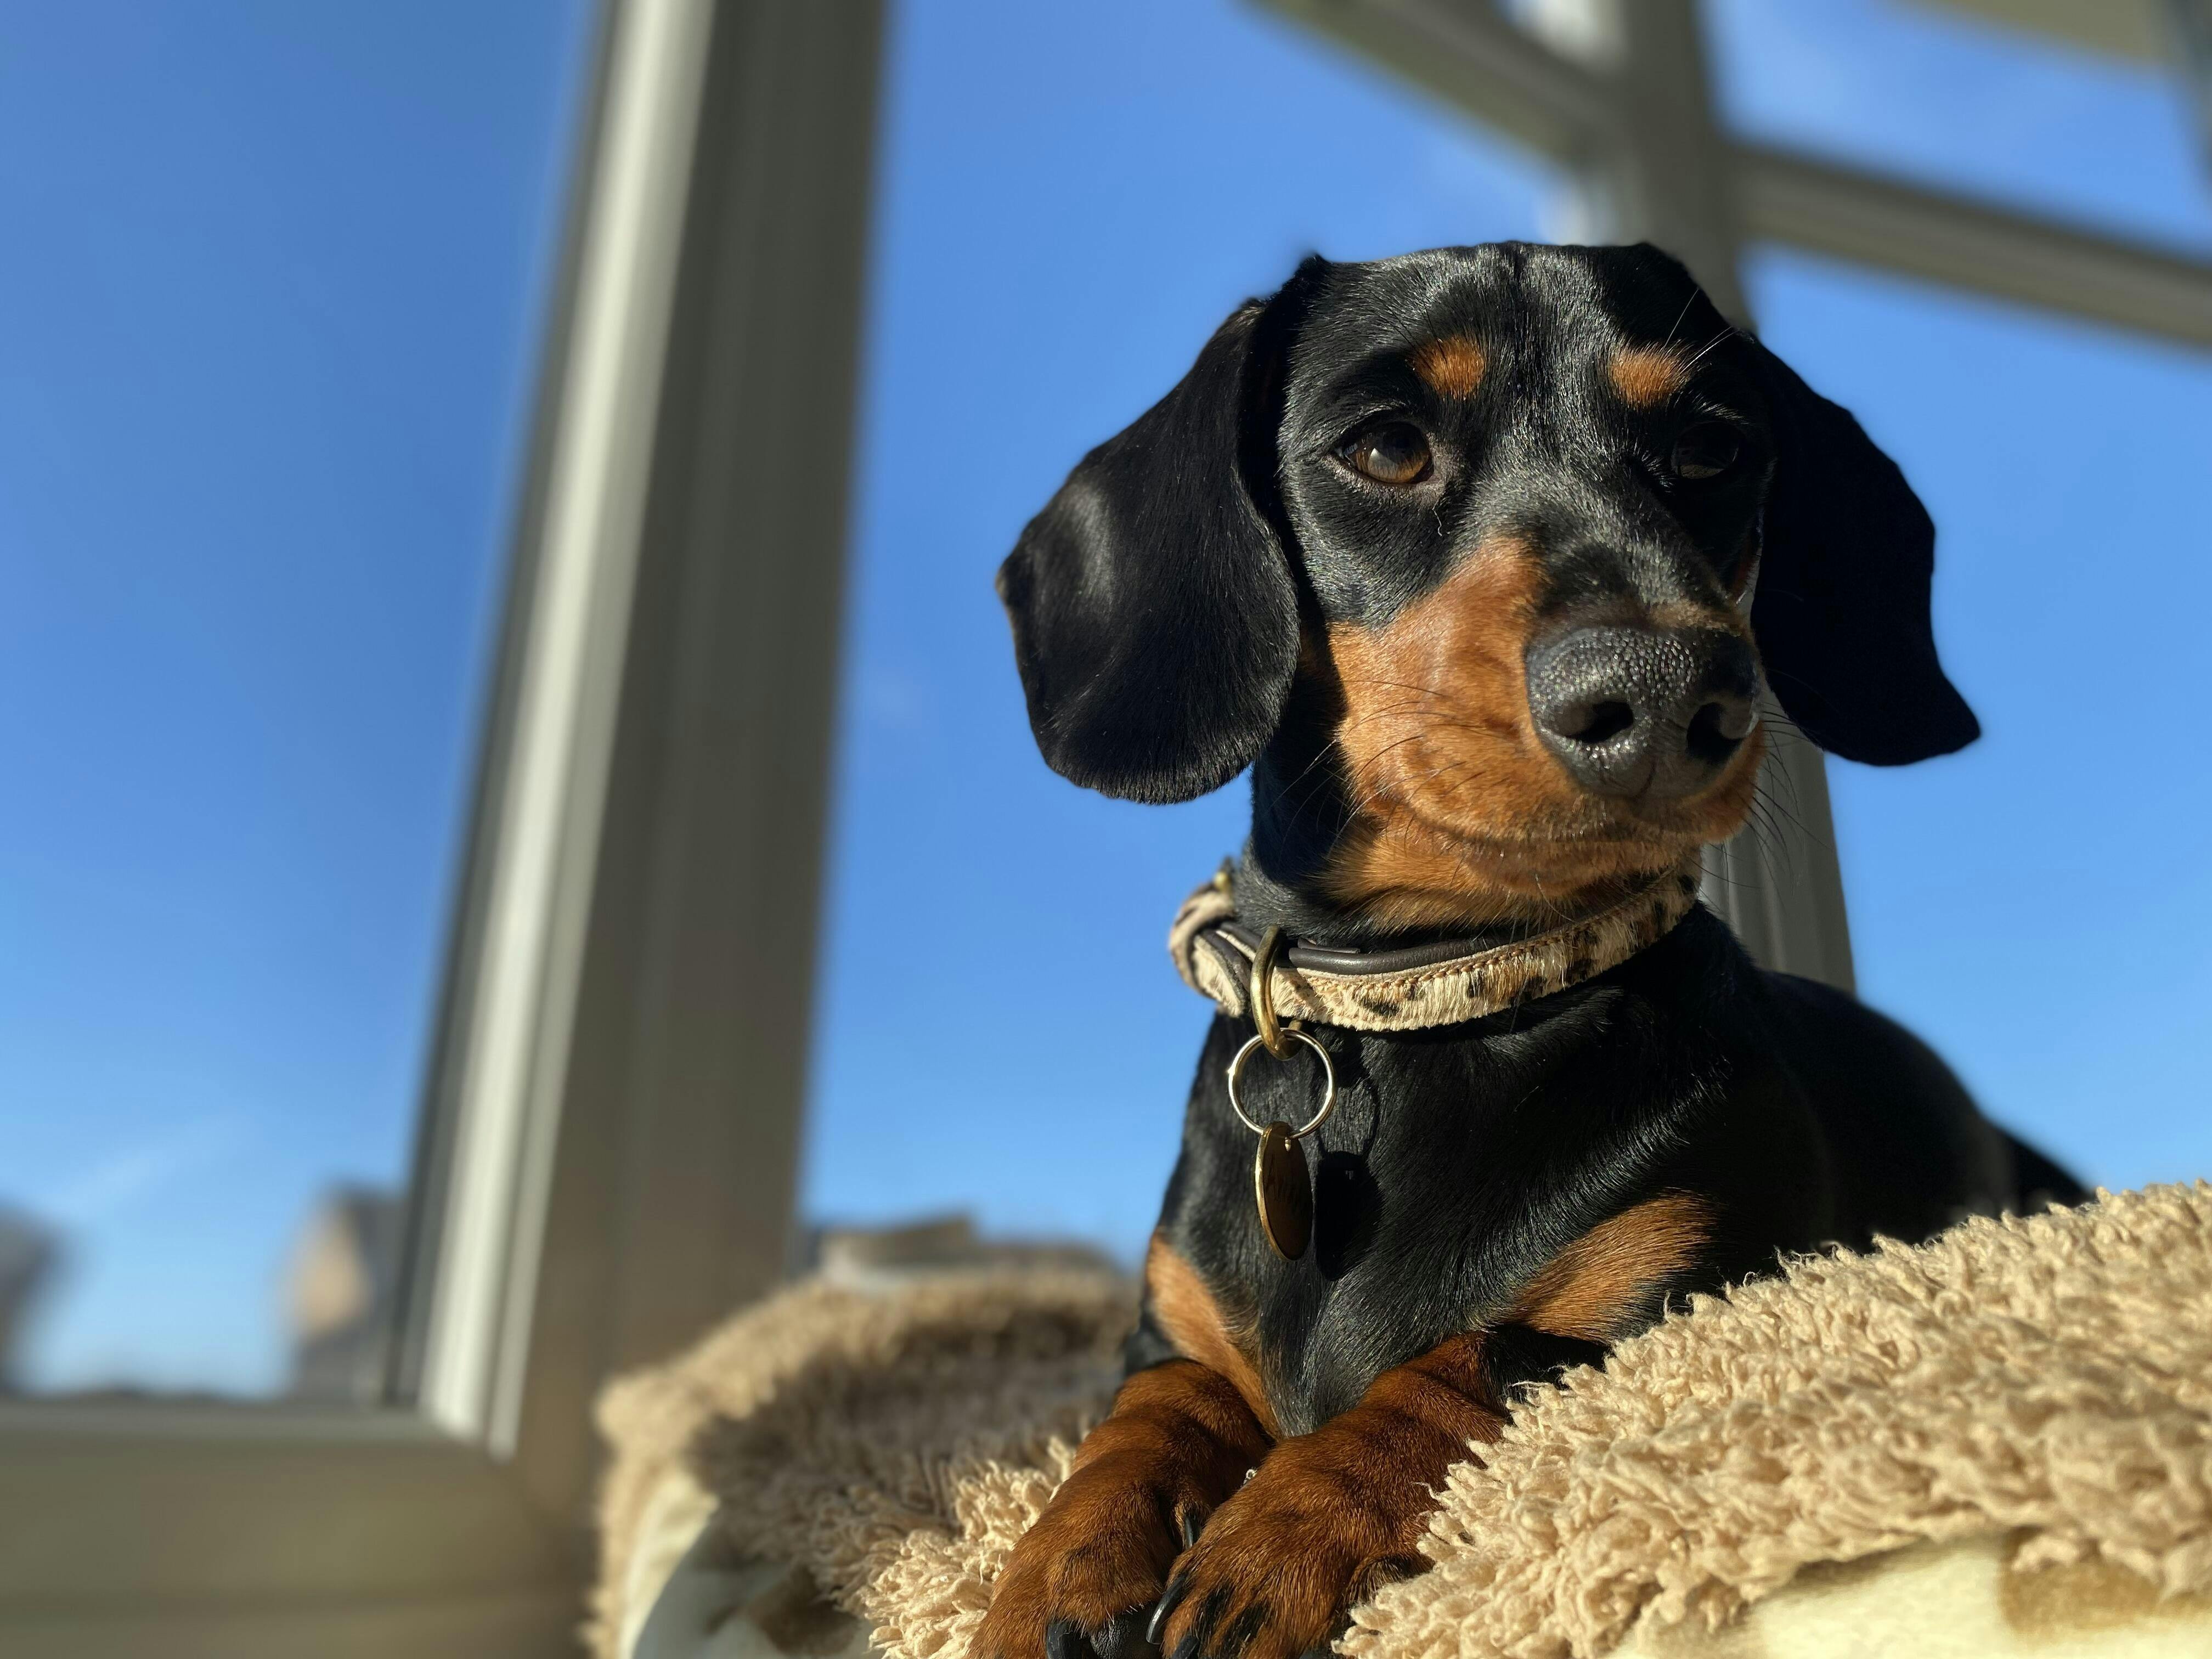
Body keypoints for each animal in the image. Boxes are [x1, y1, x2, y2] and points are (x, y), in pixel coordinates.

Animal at [977, 243, 2081, 1659]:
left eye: (1713, 449)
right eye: (1385, 447)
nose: (1667, 695)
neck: (1444, 998)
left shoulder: (1681, 1291)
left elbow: (1463, 1360)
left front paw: (1276, 1537)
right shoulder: (1166, 1330)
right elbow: (1151, 1407)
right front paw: (1066, 1565)